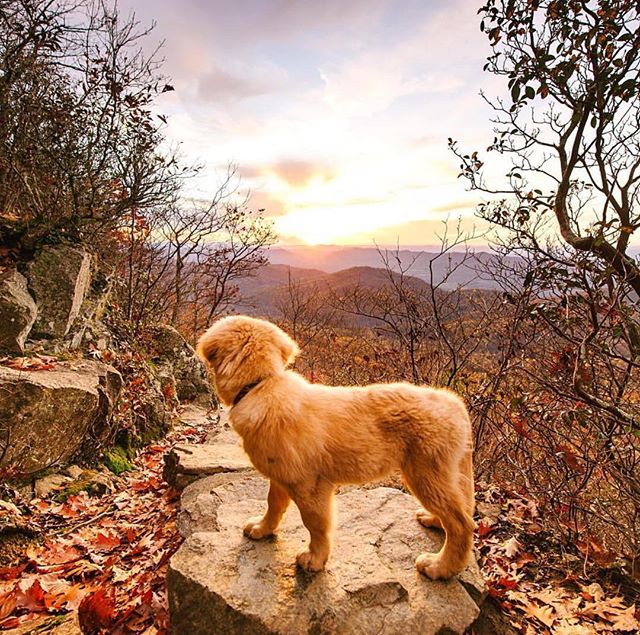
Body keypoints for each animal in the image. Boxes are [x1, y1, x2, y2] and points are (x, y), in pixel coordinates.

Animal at [199, 316, 476, 580]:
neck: (260, 385)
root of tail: (455, 404)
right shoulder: (280, 474)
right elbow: (273, 503)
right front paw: (262, 528)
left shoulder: (310, 485)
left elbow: (315, 524)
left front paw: (315, 559)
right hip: (444, 474)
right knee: (459, 510)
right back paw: (433, 521)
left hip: (425, 474)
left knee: (462, 524)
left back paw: (440, 567)